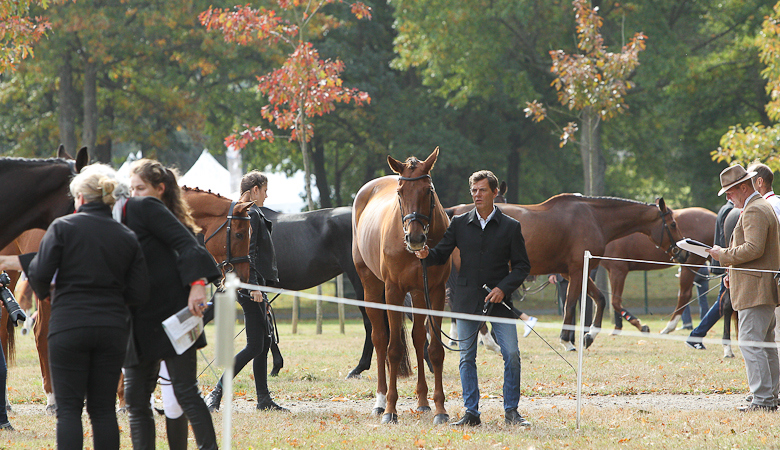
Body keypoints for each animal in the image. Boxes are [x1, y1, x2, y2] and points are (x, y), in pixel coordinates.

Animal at [354, 149, 450, 426]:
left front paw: (440, 409)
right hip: (372, 288)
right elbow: (393, 349)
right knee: (380, 339)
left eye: (428, 190)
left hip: (418, 293)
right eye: (400, 192)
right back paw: (379, 401)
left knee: (418, 339)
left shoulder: (435, 291)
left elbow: (434, 349)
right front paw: (390, 410)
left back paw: (423, 402)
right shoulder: (393, 291)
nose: (415, 238)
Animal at [444, 193, 684, 352]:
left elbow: (600, 299)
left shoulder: (572, 272)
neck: (594, 217)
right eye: (672, 224)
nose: (682, 253)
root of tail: (457, 213)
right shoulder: (577, 271)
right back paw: (489, 342)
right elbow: (570, 304)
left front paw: (589, 336)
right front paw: (567, 340)